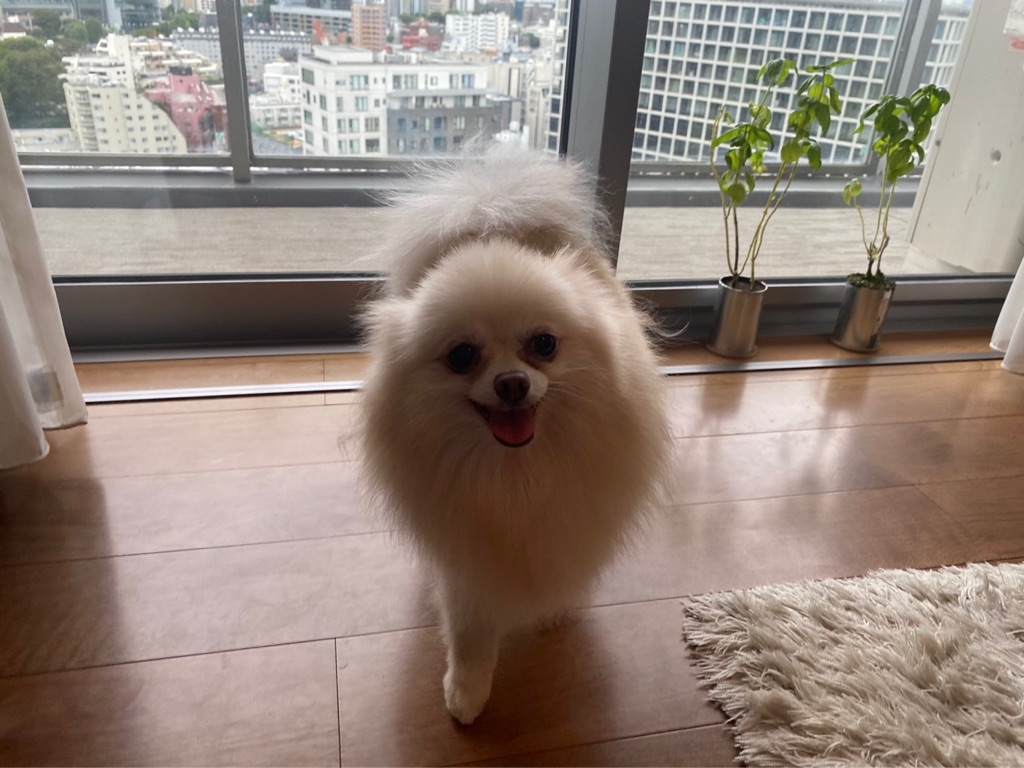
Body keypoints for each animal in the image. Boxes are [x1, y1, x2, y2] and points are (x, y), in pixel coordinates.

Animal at [358, 146, 672, 725]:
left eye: (544, 344)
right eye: (462, 355)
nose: (512, 383)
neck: (515, 475)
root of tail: (494, 211)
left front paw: (553, 607)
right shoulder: (466, 556)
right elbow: (470, 631)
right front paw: (467, 689)